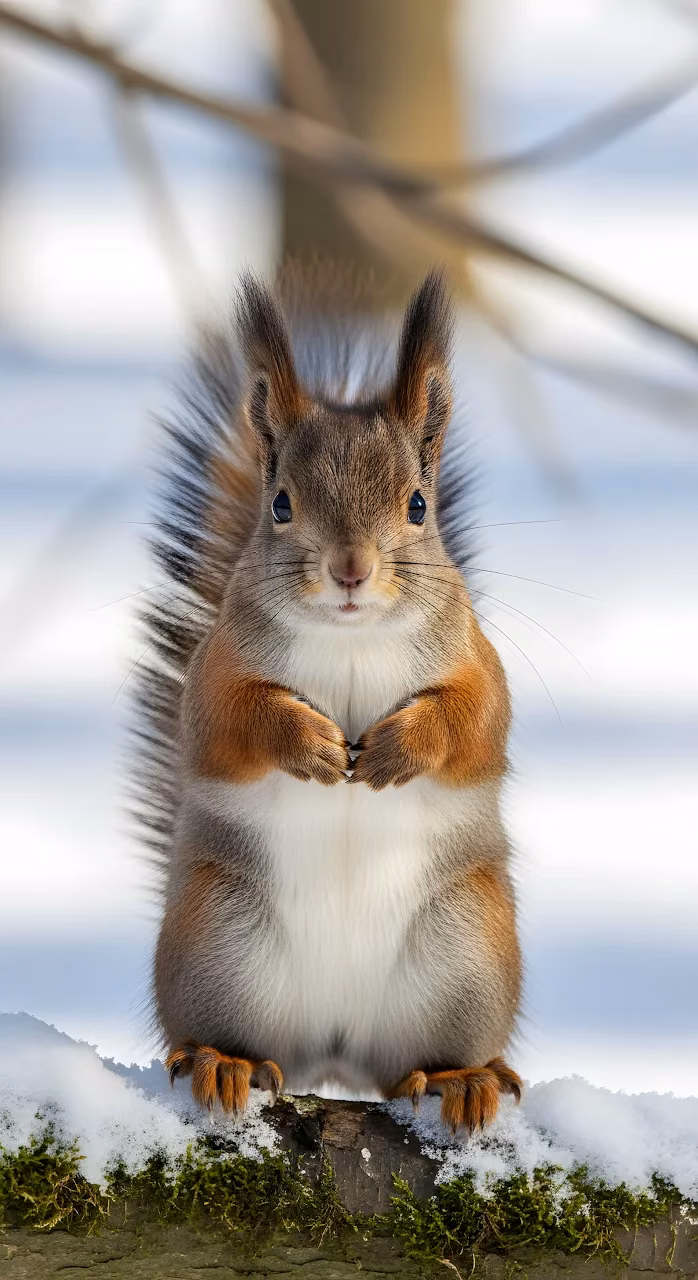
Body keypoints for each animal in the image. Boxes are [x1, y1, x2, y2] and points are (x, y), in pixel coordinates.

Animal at [135, 264, 522, 1135]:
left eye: (418, 505)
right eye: (280, 503)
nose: (350, 569)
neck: (349, 637)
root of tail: (338, 1052)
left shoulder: (478, 663)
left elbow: (476, 723)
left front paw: (397, 748)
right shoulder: (219, 669)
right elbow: (227, 721)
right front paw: (307, 742)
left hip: (467, 955)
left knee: (423, 1057)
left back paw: (460, 1078)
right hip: (221, 942)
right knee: (227, 1033)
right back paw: (224, 1061)